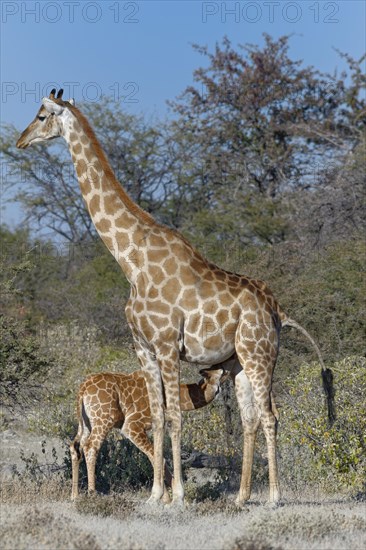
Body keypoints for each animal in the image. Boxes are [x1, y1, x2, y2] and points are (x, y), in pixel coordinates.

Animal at [69, 368, 226, 502]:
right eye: (221, 374)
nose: (228, 371)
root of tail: (83, 389)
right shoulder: (132, 425)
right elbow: (158, 458)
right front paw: (169, 498)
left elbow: (155, 457)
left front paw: (166, 498)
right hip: (104, 420)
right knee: (91, 447)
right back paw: (92, 494)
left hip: (86, 423)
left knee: (75, 447)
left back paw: (75, 496)